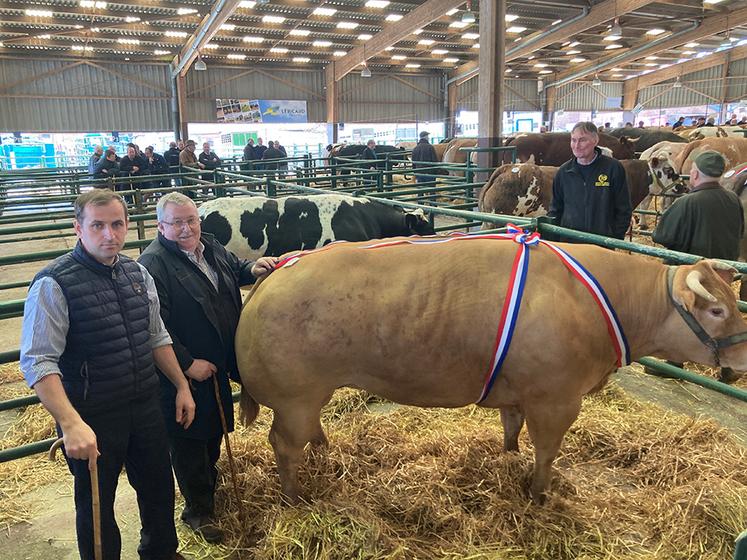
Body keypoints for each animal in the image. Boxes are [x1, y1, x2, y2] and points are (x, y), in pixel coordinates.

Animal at [235, 237, 747, 504]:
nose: (742, 356)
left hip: (308, 395)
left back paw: (324, 449)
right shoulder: (557, 399)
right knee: (283, 444)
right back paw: (293, 496)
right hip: (294, 395)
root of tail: (275, 272)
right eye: (717, 310)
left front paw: (507, 457)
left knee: (309, 430)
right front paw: (539, 494)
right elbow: (547, 452)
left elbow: (511, 427)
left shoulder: (520, 390)